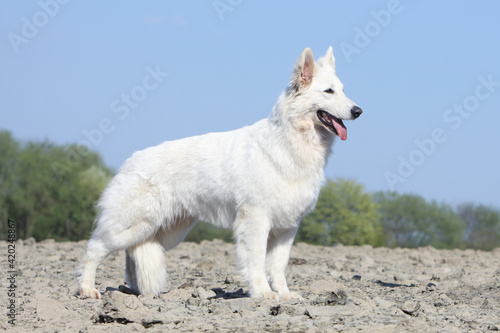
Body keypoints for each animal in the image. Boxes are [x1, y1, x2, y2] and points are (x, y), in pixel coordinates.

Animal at [76, 47, 362, 300]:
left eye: (343, 91)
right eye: (328, 91)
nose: (358, 111)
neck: (290, 141)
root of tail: (130, 160)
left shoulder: (288, 227)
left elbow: (278, 265)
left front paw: (284, 295)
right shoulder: (256, 220)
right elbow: (256, 260)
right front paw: (263, 294)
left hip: (161, 232)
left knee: (131, 254)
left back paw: (138, 293)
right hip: (128, 225)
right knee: (93, 249)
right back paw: (87, 289)